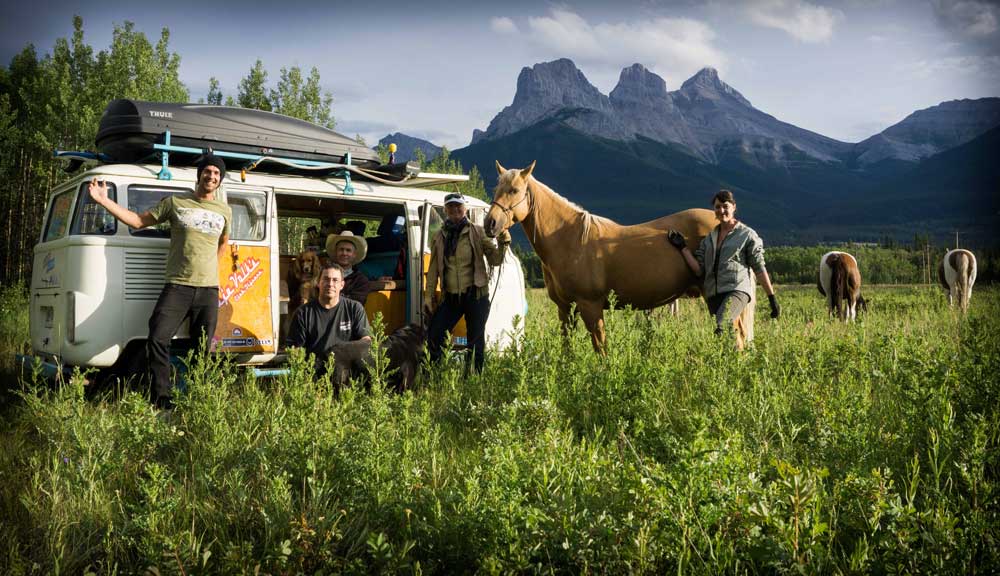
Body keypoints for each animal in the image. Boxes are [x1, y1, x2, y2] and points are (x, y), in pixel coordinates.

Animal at [486, 160, 756, 354]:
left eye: (515, 190)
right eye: (496, 189)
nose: (490, 224)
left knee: (737, 336)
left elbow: (601, 349)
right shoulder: (565, 308)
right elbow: (567, 349)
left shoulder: (591, 306)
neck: (569, 239)